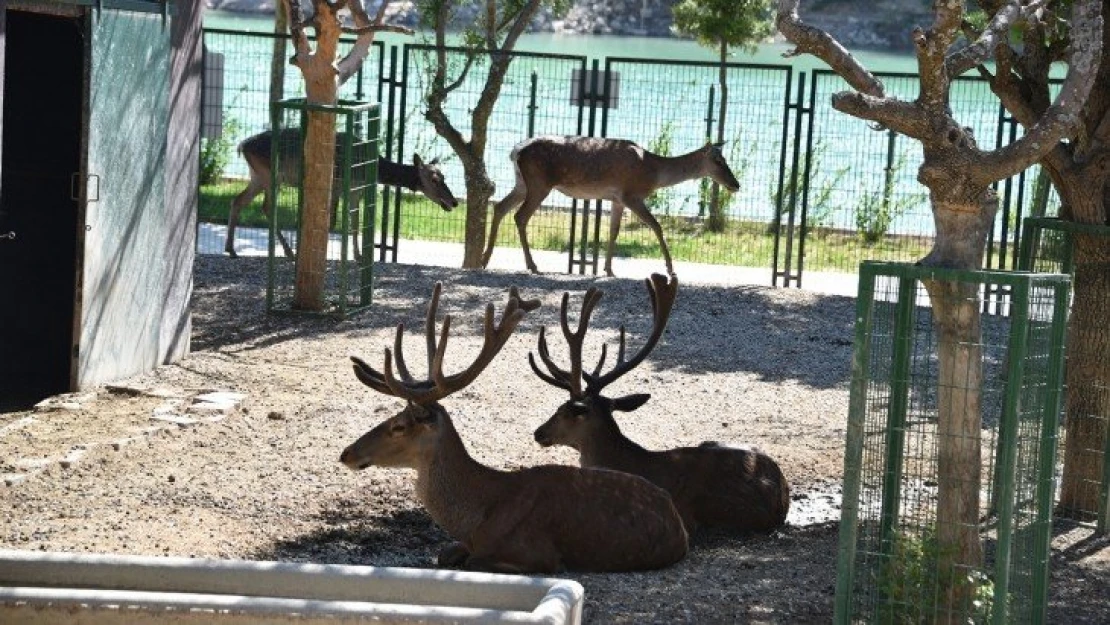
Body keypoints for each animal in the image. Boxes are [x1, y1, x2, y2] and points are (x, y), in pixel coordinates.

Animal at [225, 128, 455, 260]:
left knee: (238, 201)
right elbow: (335, 222)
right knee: (266, 206)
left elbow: (354, 224)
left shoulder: (355, 193)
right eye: (434, 179)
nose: (453, 201)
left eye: (444, 176)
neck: (371, 170)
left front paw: (358, 255)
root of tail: (242, 146)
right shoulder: (340, 188)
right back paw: (289, 252)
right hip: (270, 175)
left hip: (257, 176)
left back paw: (232, 249)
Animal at [337, 280, 683, 572]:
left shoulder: (538, 554)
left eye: (399, 426)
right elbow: (445, 554)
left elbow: (474, 561)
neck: (480, 515)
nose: (346, 453)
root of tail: (677, 520)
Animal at [481, 138, 741, 277]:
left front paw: (608, 269)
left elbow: (614, 231)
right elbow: (657, 226)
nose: (736, 184)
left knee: (500, 208)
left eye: (726, 159)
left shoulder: (617, 200)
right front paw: (671, 269)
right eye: (718, 160)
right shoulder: (631, 195)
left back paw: (485, 259)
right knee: (520, 216)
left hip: (522, 183)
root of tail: (515, 152)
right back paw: (532, 265)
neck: (654, 172)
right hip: (539, 183)